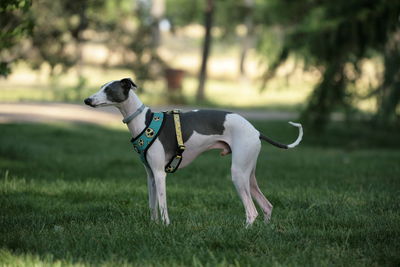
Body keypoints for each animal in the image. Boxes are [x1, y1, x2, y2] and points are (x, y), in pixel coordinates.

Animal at [84, 78, 304, 227]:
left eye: (108, 90)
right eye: (101, 87)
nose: (87, 100)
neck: (143, 121)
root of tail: (256, 131)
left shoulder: (160, 174)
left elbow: (162, 205)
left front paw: (166, 226)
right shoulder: (150, 175)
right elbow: (152, 205)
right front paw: (153, 226)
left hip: (238, 173)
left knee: (252, 211)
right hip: (248, 173)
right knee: (267, 206)